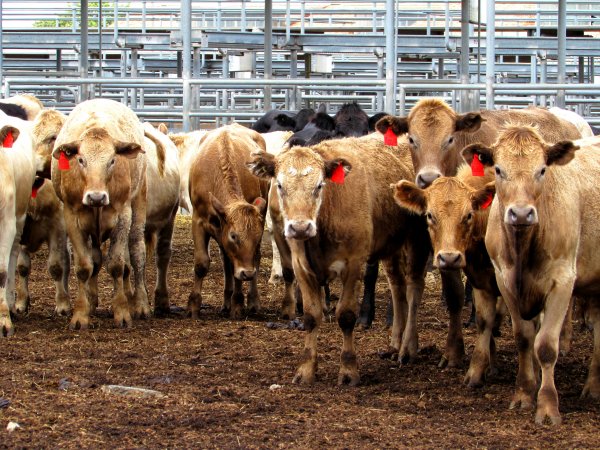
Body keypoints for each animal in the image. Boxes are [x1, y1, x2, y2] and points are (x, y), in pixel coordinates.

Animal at [51, 99, 148, 330]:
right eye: (81, 160)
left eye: (112, 160)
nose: (96, 197)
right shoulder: (72, 215)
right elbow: (84, 266)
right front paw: (80, 314)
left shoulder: (122, 214)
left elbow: (117, 265)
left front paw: (122, 312)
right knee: (95, 259)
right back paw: (93, 301)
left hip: (138, 203)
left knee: (136, 253)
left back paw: (140, 303)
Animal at [189, 123, 268, 320]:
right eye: (234, 236)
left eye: (257, 237)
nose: (248, 273)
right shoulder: (198, 221)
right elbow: (201, 263)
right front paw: (193, 305)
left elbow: (238, 265)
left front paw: (238, 305)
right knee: (226, 259)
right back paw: (226, 302)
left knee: (253, 258)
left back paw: (252, 302)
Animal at [248, 133, 432, 384]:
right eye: (280, 185)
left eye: (319, 185)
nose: (300, 227)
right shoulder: (301, 266)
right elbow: (311, 315)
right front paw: (306, 370)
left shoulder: (354, 264)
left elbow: (345, 316)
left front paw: (348, 370)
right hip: (391, 245)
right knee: (397, 286)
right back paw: (395, 344)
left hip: (417, 237)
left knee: (414, 287)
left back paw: (408, 349)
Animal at [464, 127, 600, 426]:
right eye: (498, 169)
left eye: (542, 170)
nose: (521, 213)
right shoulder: (504, 281)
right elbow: (524, 338)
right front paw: (524, 393)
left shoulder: (562, 283)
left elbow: (546, 346)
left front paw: (547, 406)